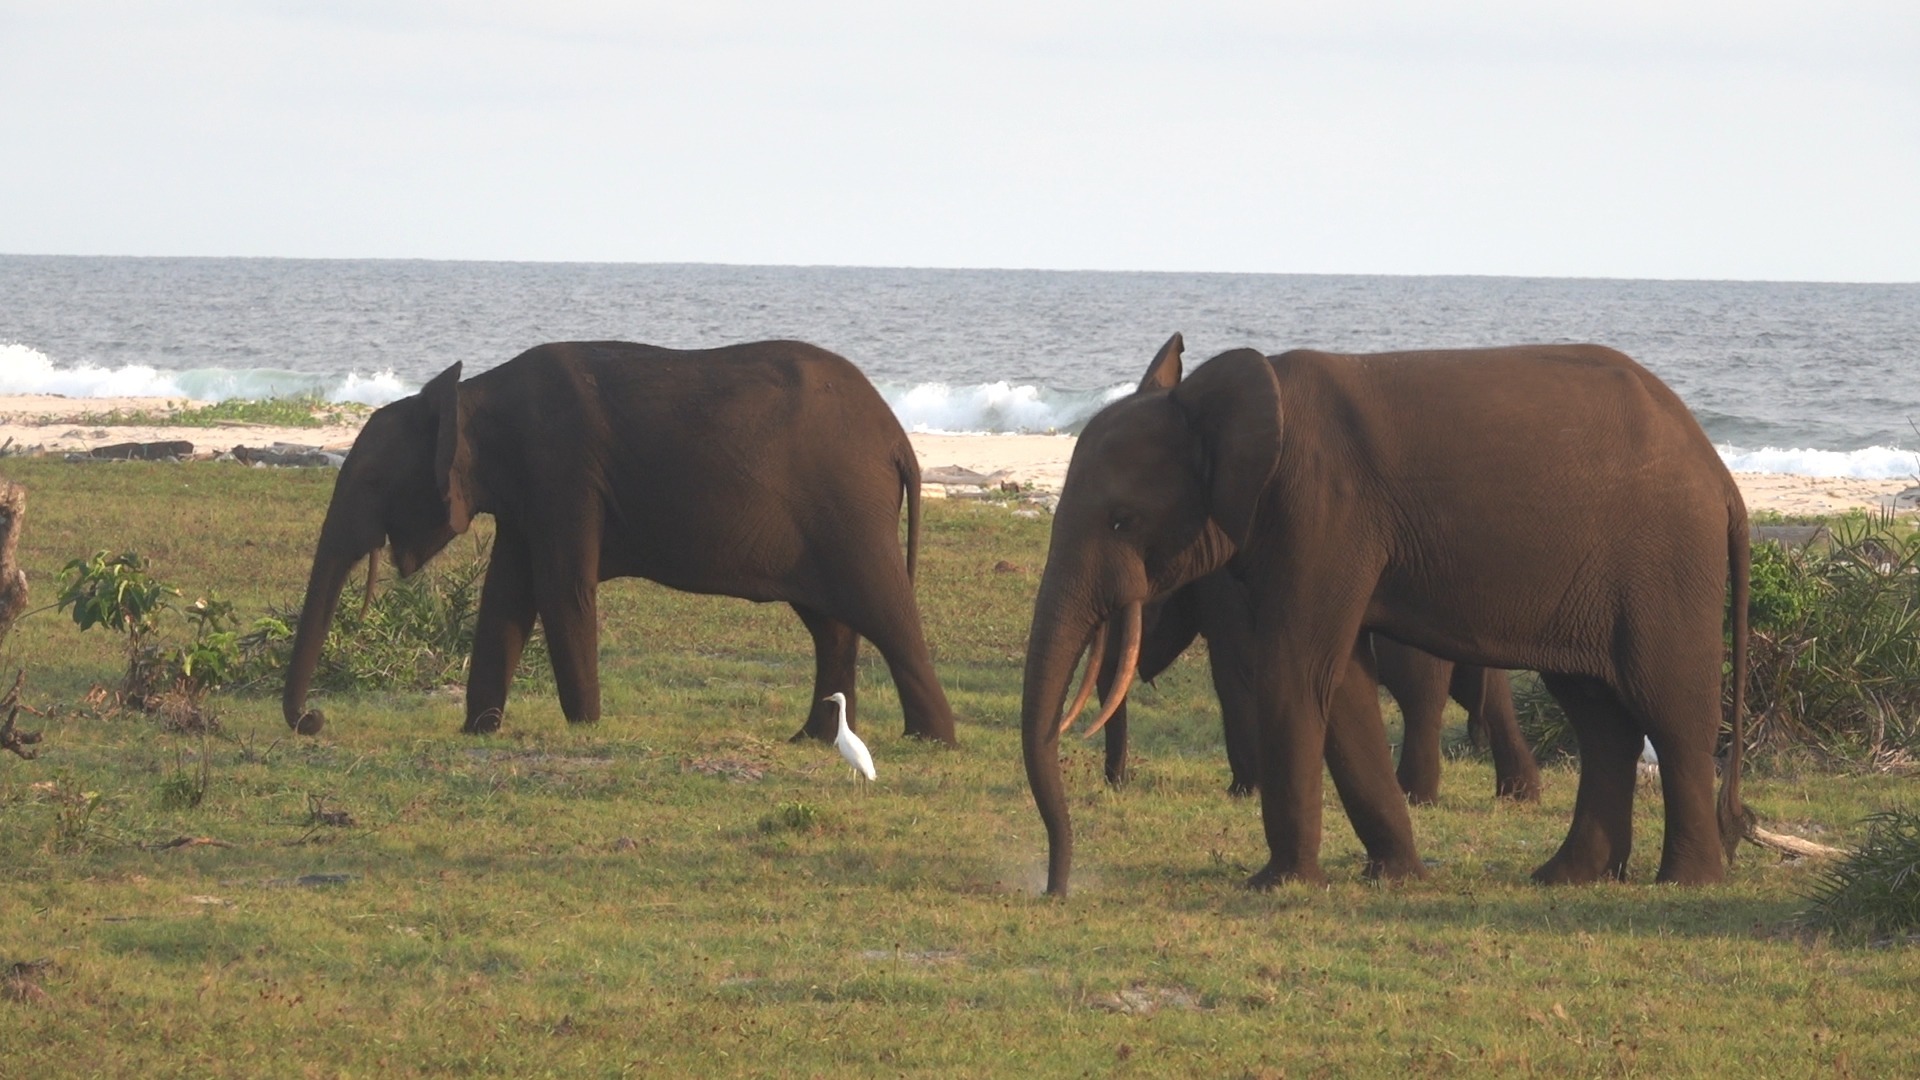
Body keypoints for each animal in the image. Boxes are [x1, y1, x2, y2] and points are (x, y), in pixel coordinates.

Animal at [283, 339, 958, 747]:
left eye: (374, 481)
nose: (314, 721)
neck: (470, 395)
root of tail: (896, 435)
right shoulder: (530, 495)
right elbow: (506, 599)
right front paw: (479, 732)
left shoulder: (563, 472)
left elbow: (561, 592)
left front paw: (585, 728)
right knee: (831, 624)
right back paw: (811, 740)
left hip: (849, 509)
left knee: (884, 610)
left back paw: (930, 741)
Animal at [1083, 567, 1541, 805]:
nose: (1119, 783)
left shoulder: (1227, 594)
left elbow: (1235, 673)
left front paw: (1243, 792)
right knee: (1487, 694)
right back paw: (1518, 795)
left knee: (1419, 695)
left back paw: (1412, 795)